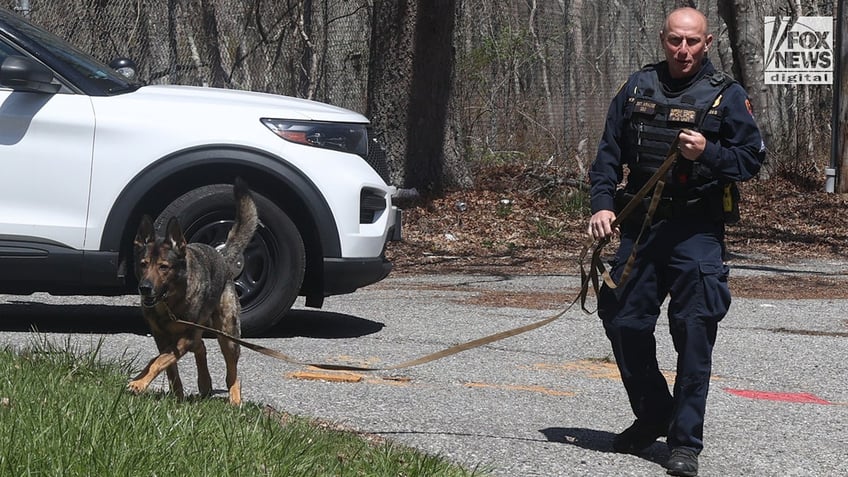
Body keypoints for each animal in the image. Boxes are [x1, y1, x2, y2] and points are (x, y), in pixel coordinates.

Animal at [128, 179, 258, 406]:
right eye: (143, 264)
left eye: (164, 267)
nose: (144, 288)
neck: (169, 303)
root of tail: (222, 257)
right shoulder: (162, 338)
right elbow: (167, 365)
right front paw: (177, 395)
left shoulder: (184, 338)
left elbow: (158, 360)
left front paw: (140, 382)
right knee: (201, 347)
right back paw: (204, 383)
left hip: (227, 333)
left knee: (232, 370)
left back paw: (234, 398)